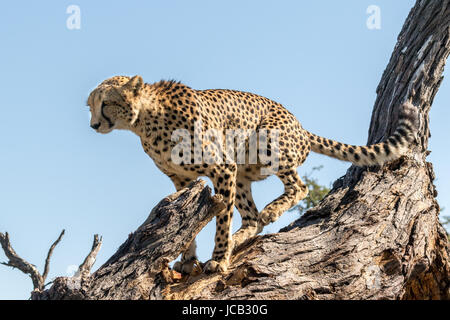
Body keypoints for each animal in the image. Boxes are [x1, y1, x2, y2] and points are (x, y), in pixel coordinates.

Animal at [86, 75, 416, 272]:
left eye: (107, 103)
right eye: (90, 105)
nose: (93, 125)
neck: (144, 120)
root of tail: (300, 124)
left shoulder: (222, 168)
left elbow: (221, 219)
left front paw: (218, 260)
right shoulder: (182, 180)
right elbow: (184, 222)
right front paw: (189, 259)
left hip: (265, 142)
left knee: (298, 187)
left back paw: (268, 214)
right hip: (244, 173)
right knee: (252, 217)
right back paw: (240, 237)